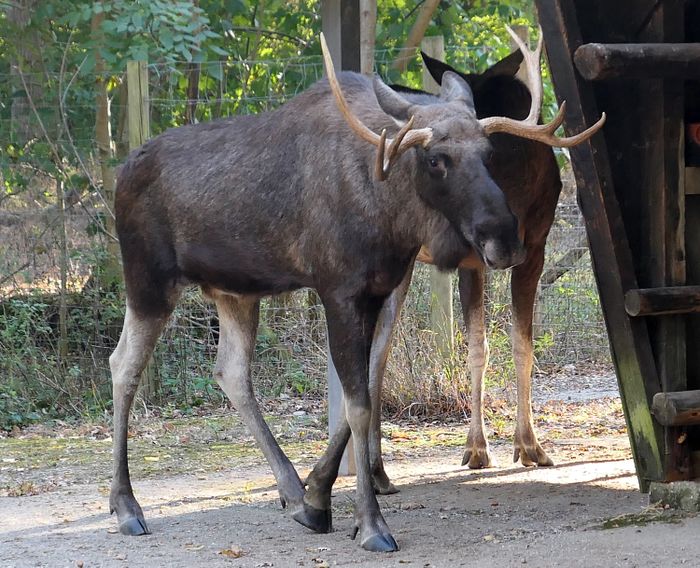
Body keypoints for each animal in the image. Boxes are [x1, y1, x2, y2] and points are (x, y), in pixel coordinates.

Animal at [108, 30, 600, 552]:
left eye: (489, 153)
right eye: (436, 159)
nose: (504, 239)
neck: (391, 214)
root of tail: (121, 172)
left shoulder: (378, 289)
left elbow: (363, 384)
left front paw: (318, 498)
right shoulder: (339, 291)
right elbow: (359, 403)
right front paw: (370, 522)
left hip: (235, 293)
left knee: (231, 372)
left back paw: (290, 487)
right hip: (148, 281)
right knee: (124, 366)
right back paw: (127, 506)